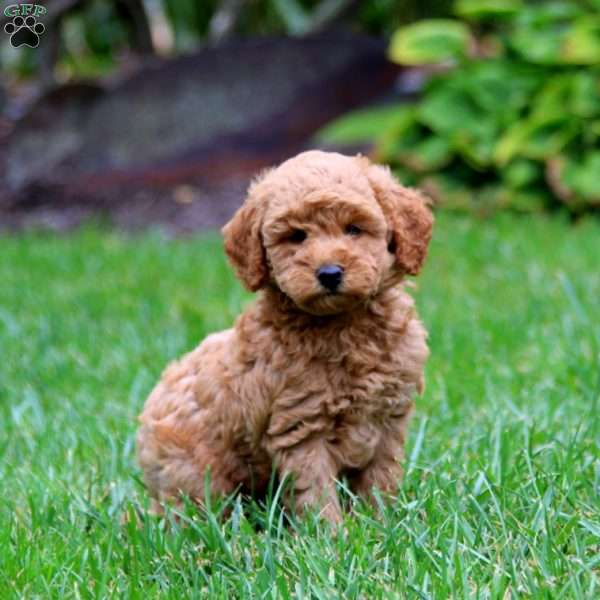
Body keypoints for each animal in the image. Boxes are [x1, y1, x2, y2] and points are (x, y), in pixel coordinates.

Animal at [136, 152, 432, 524]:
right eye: (297, 236)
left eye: (354, 228)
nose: (329, 273)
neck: (343, 326)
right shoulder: (301, 427)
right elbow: (315, 491)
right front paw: (333, 534)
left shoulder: (388, 418)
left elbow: (380, 479)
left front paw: (381, 522)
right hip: (196, 475)